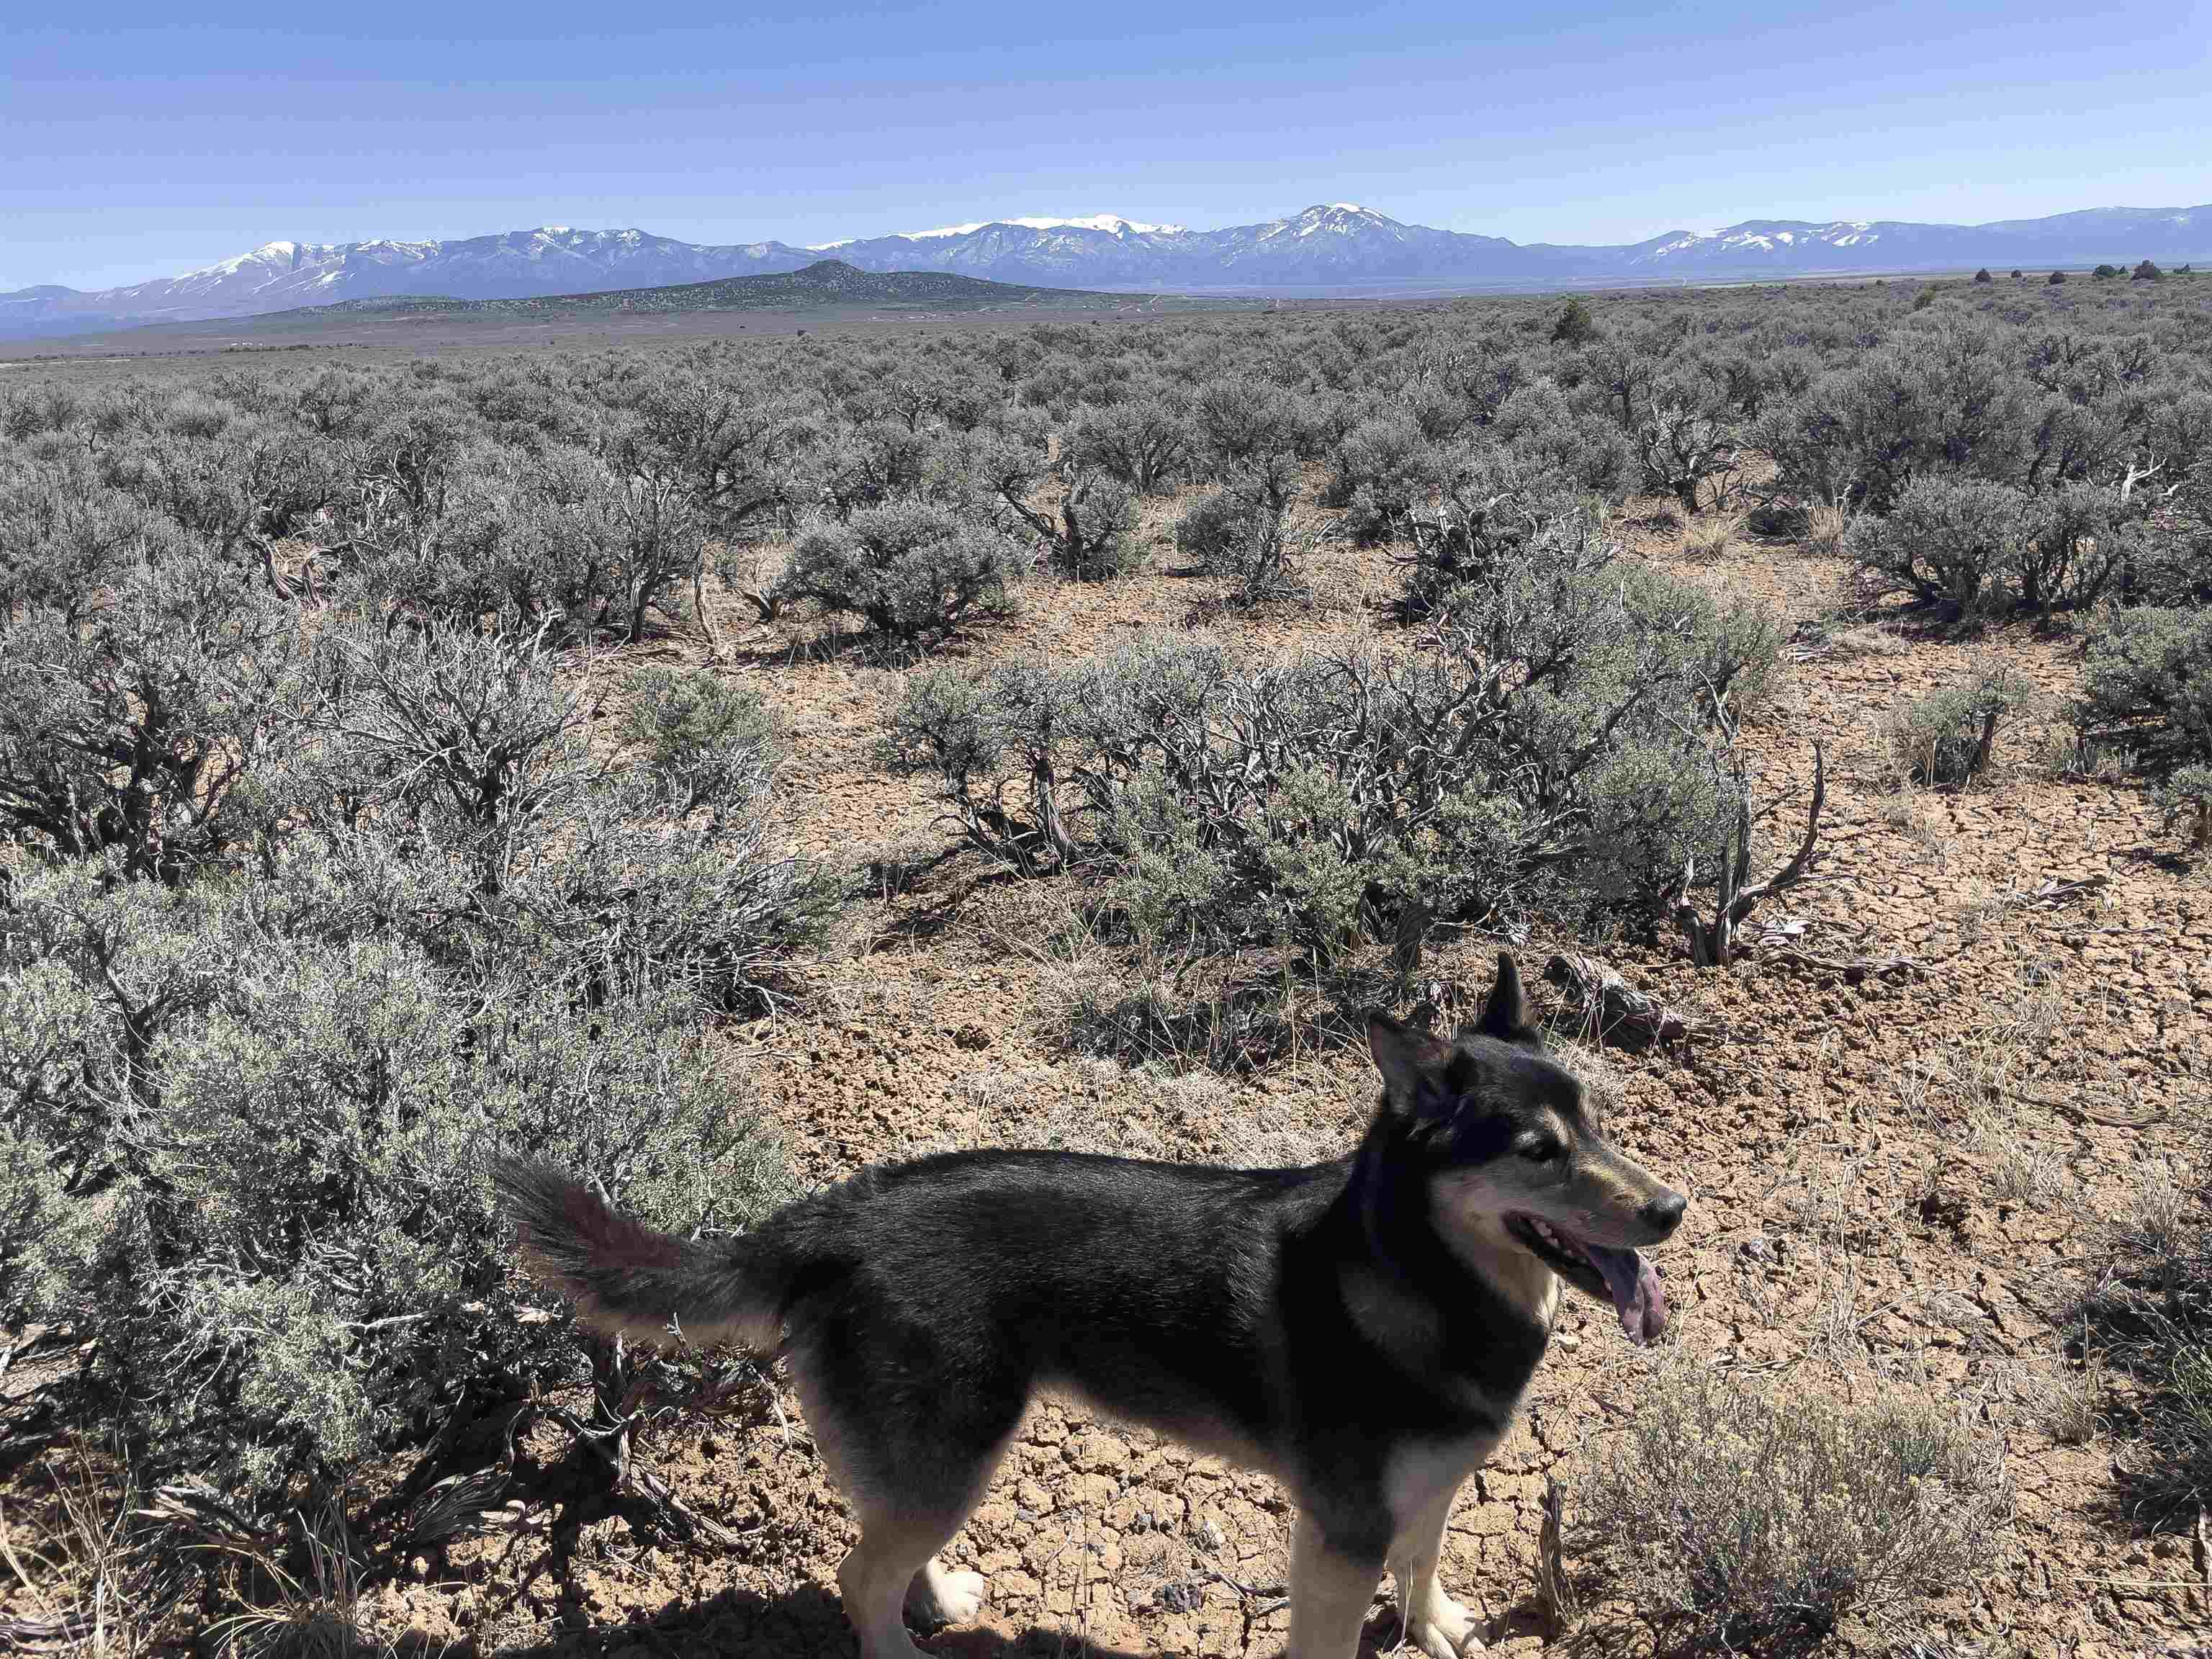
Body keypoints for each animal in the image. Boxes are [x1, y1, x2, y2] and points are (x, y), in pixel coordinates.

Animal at [498, 960, 1672, 1659]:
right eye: (1537, 1151)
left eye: (1597, 1122)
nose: (1673, 1208)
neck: (1416, 1273)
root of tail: (831, 1215)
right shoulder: (1338, 1540)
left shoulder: (1424, 1492)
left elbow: (1424, 1564)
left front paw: (1438, 1627)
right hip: (959, 1445)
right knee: (857, 1574)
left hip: (937, 1460)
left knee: (884, 1548)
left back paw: (941, 1598)